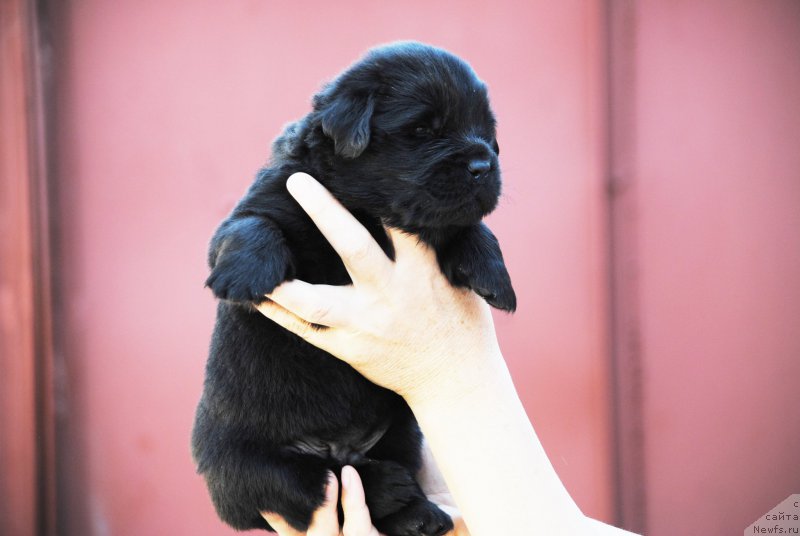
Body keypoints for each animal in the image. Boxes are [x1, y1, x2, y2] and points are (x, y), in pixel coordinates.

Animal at [195, 43, 520, 536]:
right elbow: (252, 224)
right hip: (246, 468)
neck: (367, 211)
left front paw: (495, 275)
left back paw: (418, 512)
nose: (484, 165)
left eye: (485, 132)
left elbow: (469, 225)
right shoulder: (273, 196)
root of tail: (336, 445)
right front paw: (242, 275)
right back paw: (389, 486)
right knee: (318, 481)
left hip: (403, 430)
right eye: (422, 130)